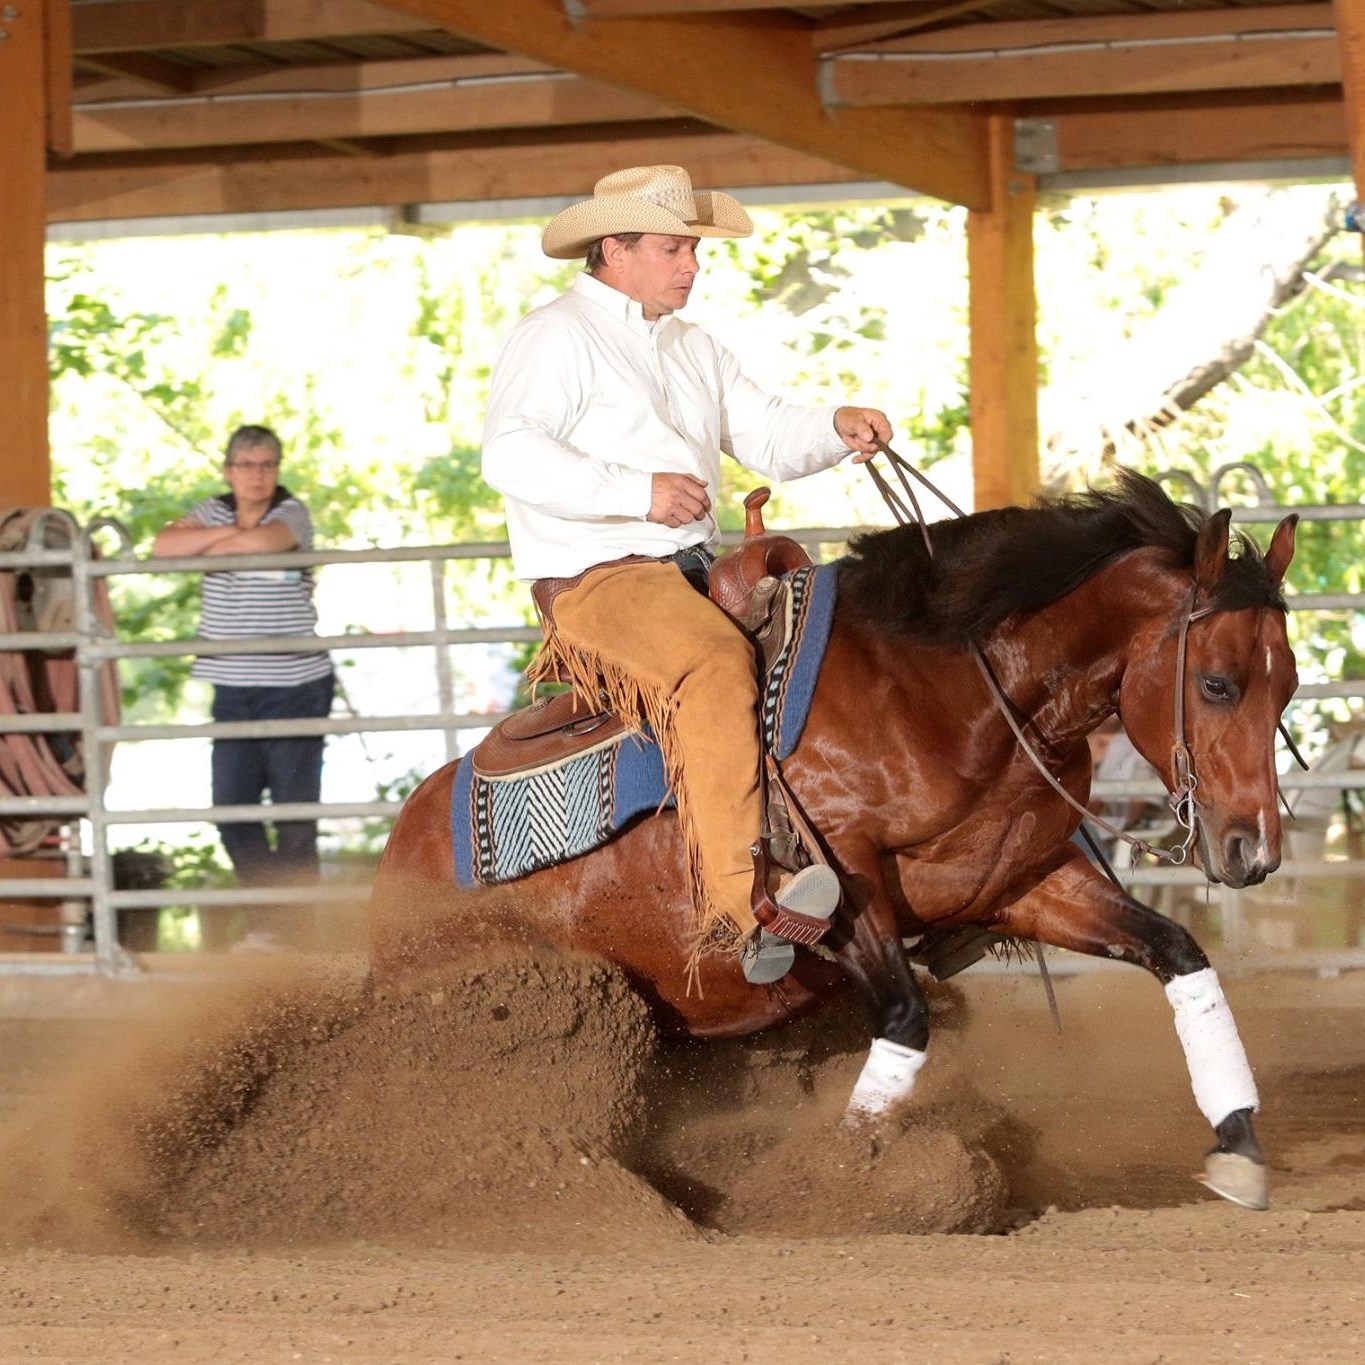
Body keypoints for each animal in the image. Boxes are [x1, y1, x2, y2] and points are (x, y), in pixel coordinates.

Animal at [374, 469, 1299, 1206]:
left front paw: (1237, 1142)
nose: (1253, 851)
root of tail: (403, 846)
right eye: (1217, 683)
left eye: (1286, 686)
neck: (953, 688)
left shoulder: (1021, 880)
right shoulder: (835, 876)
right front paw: (848, 1180)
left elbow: (1176, 950)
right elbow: (904, 1017)